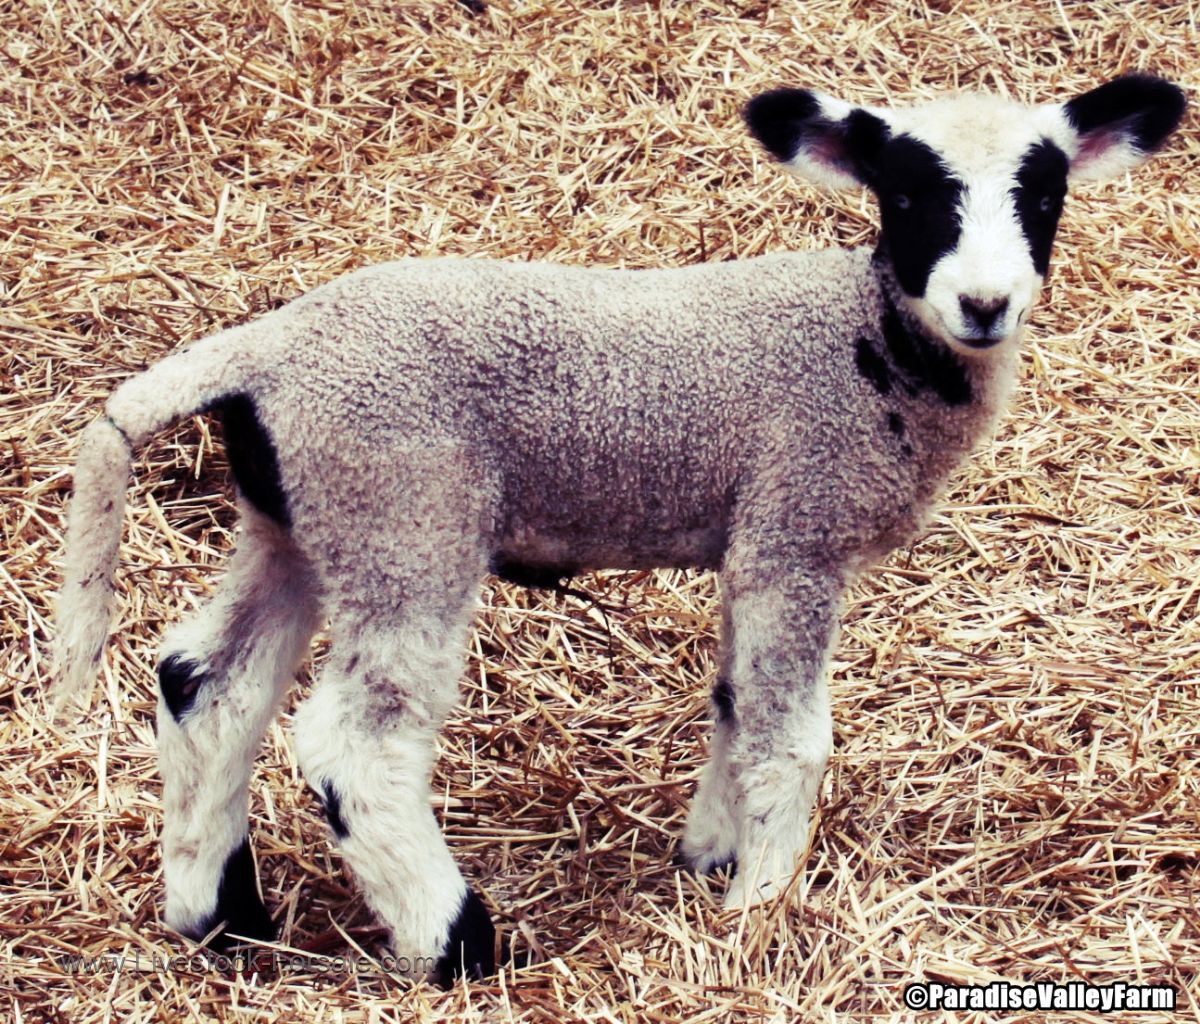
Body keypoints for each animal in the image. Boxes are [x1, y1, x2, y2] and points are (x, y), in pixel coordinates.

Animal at [54, 73, 1185, 985]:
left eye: (1044, 195)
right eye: (906, 195)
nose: (985, 304)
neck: (870, 339)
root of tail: (261, 353)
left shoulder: (749, 540)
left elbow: (733, 702)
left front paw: (711, 857)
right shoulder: (795, 529)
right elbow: (790, 738)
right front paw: (761, 908)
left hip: (302, 517)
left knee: (204, 682)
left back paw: (219, 915)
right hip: (406, 511)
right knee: (355, 743)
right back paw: (455, 942)